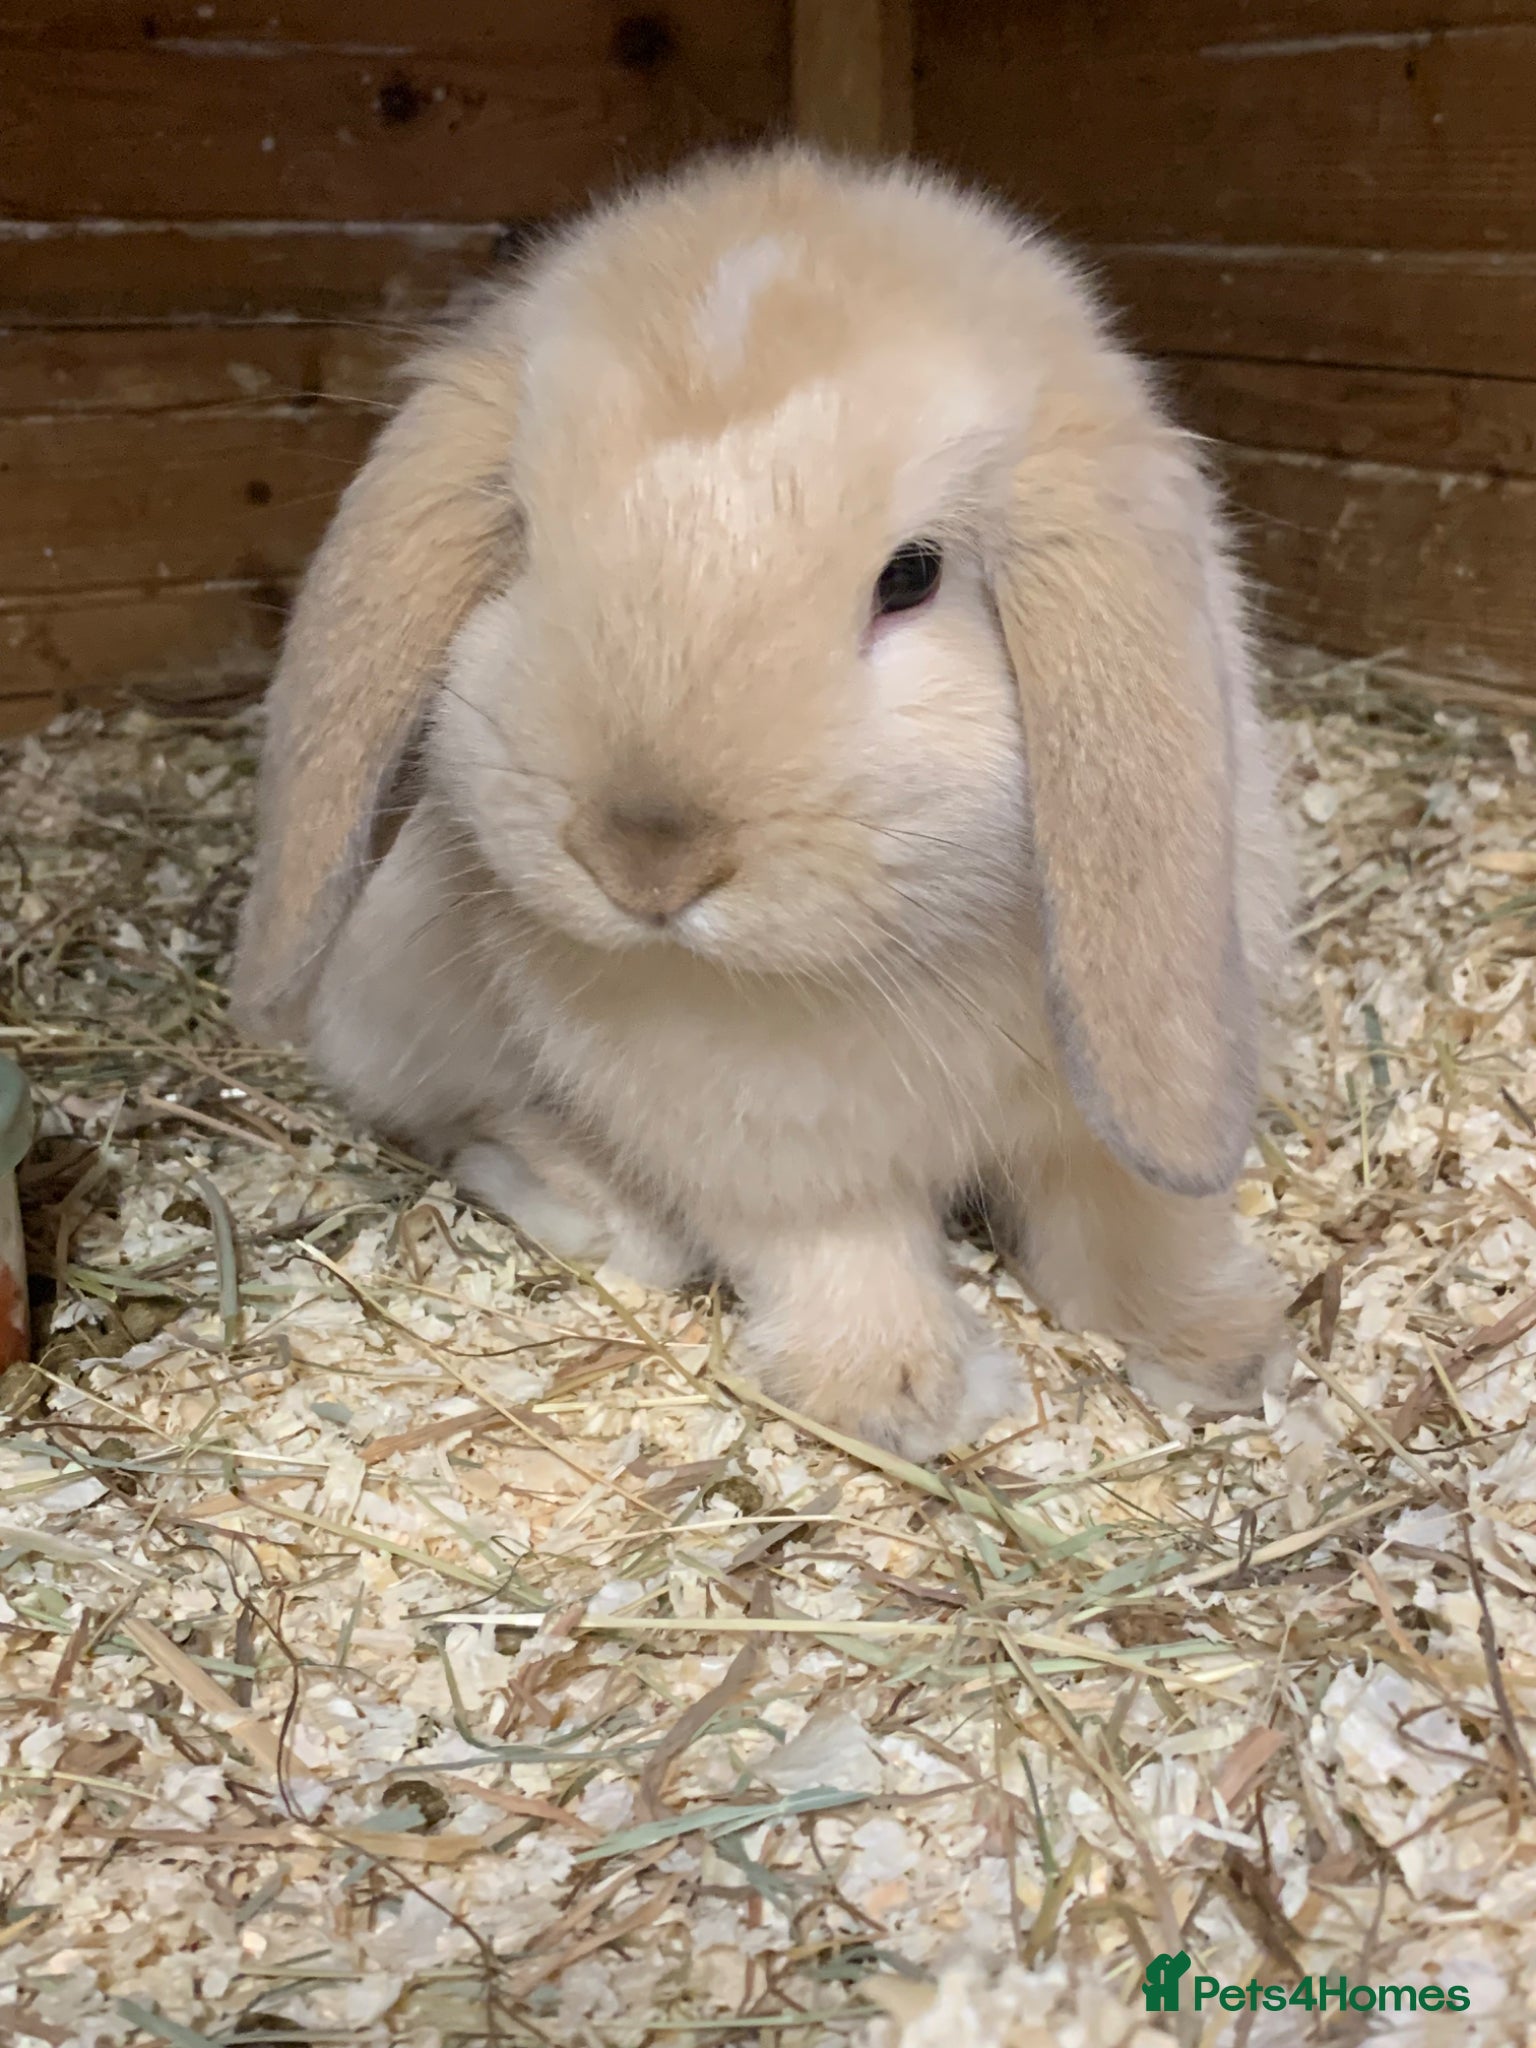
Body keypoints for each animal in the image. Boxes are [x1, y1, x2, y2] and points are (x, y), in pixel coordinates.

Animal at [234, 145, 1297, 1457]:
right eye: (520, 538)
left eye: (912, 576)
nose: (644, 858)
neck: (888, 952)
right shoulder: (771, 1149)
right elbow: (834, 1245)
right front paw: (906, 1395)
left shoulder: (1098, 1112)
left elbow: (1130, 1217)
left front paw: (1223, 1349)